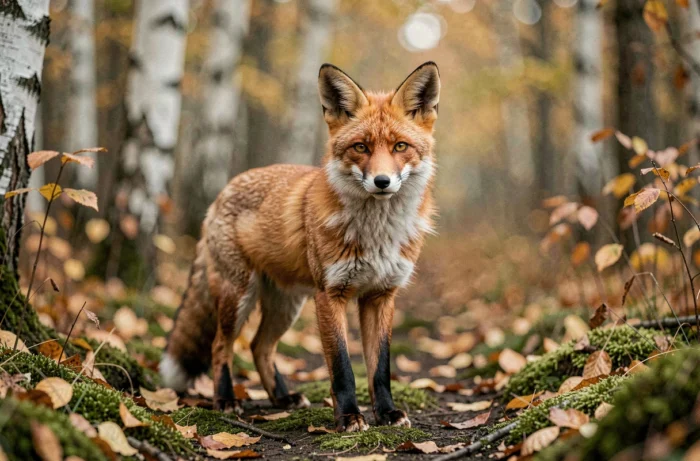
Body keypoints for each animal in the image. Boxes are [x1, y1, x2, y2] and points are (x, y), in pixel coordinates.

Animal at [160, 61, 440, 432]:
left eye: (400, 146)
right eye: (361, 147)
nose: (382, 182)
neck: (377, 234)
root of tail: (222, 192)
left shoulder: (381, 295)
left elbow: (380, 368)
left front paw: (387, 413)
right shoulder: (330, 294)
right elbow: (342, 368)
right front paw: (349, 417)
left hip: (286, 305)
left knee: (259, 347)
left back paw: (283, 398)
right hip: (239, 295)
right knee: (222, 346)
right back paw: (226, 400)